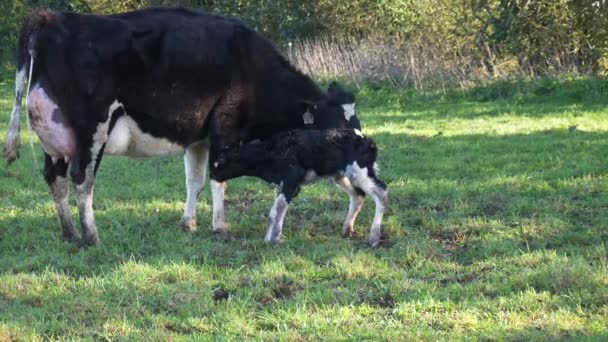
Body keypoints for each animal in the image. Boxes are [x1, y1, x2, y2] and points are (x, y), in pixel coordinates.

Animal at [3, 8, 360, 246]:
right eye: (338, 124)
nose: (358, 155)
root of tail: (54, 17)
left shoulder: (197, 137)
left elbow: (194, 181)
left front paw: (188, 223)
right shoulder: (225, 125)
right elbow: (218, 178)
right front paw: (220, 226)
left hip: (54, 138)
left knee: (55, 178)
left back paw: (69, 234)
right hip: (92, 129)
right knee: (82, 180)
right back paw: (91, 236)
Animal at [211, 128, 388, 246]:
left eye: (220, 162)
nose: (212, 176)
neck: (269, 153)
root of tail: (367, 139)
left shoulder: (291, 182)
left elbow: (278, 211)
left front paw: (275, 240)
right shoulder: (282, 184)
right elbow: (273, 213)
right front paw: (268, 239)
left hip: (362, 172)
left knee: (382, 192)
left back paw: (373, 237)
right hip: (343, 175)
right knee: (358, 195)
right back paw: (347, 230)